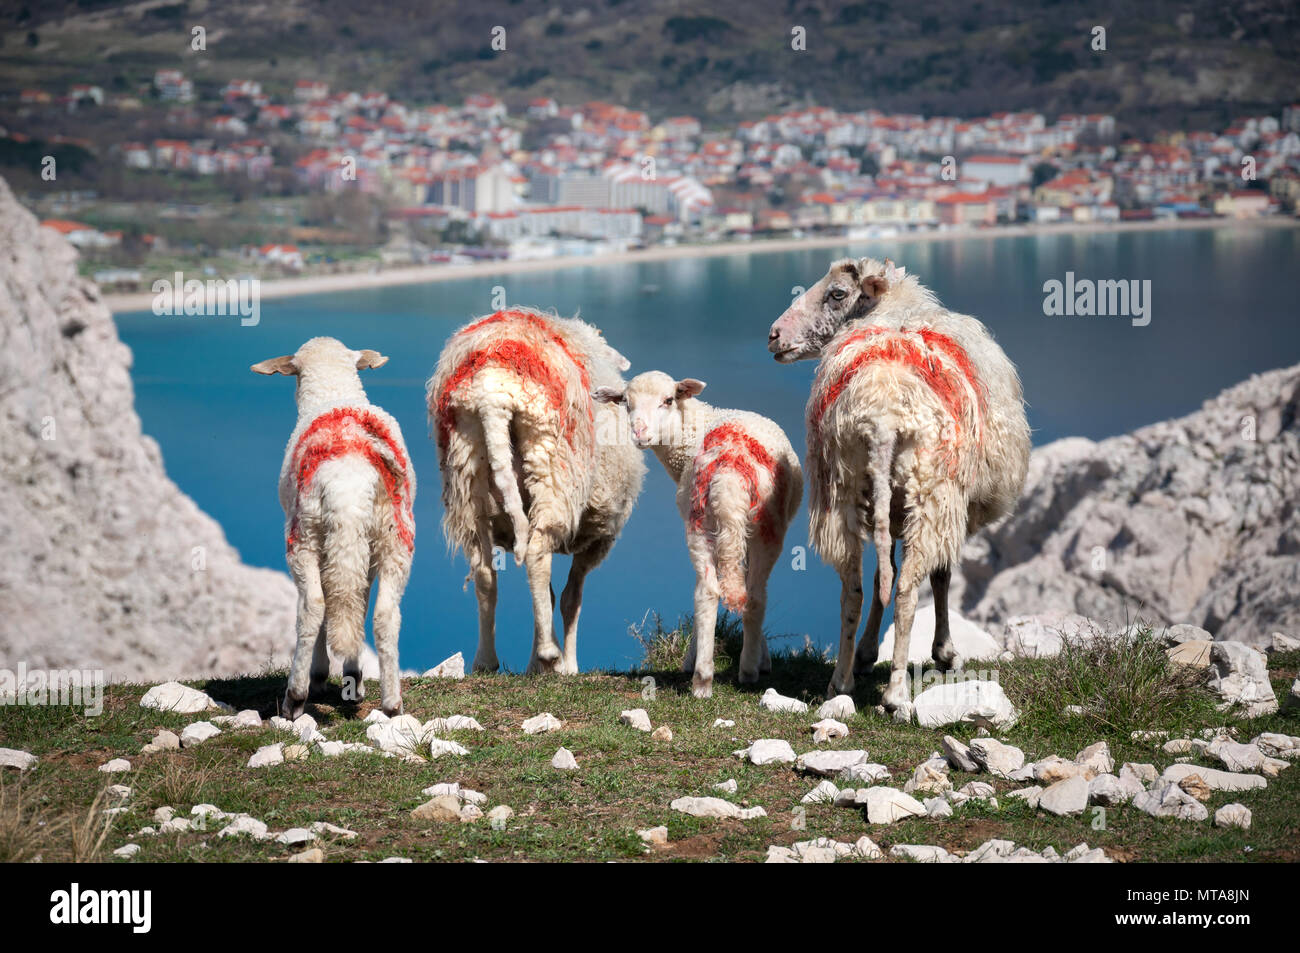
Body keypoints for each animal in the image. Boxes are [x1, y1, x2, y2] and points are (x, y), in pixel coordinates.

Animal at [252, 337, 415, 718]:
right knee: (383, 613)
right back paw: (391, 704)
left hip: (306, 534)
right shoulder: (358, 551)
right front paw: (352, 676)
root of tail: (349, 484)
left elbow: (328, 603)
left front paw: (322, 674)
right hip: (391, 537)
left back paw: (295, 697)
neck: (333, 390)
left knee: (312, 605)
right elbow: (355, 601)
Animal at [428, 307, 645, 675]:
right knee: (536, 556)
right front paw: (568, 665)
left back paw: (486, 660)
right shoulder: (598, 536)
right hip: (550, 462)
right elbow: (571, 598)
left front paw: (537, 666)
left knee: (485, 572)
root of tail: (492, 394)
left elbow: (553, 595)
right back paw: (548, 654)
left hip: (465, 469)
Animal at [594, 371, 803, 698]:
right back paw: (736, 672)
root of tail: (730, 475)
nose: (639, 433)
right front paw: (762, 656)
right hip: (762, 525)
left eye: (668, 400)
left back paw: (706, 677)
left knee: (716, 592)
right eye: (626, 403)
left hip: (706, 518)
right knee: (745, 594)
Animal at [767, 258, 1030, 714]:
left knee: (853, 588)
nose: (774, 335)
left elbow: (879, 580)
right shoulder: (949, 506)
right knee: (908, 589)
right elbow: (939, 576)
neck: (895, 309)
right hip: (927, 493)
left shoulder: (886, 509)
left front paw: (867, 655)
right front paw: (944, 653)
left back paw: (841, 681)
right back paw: (894, 696)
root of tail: (882, 416)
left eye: (837, 294)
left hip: (844, 492)